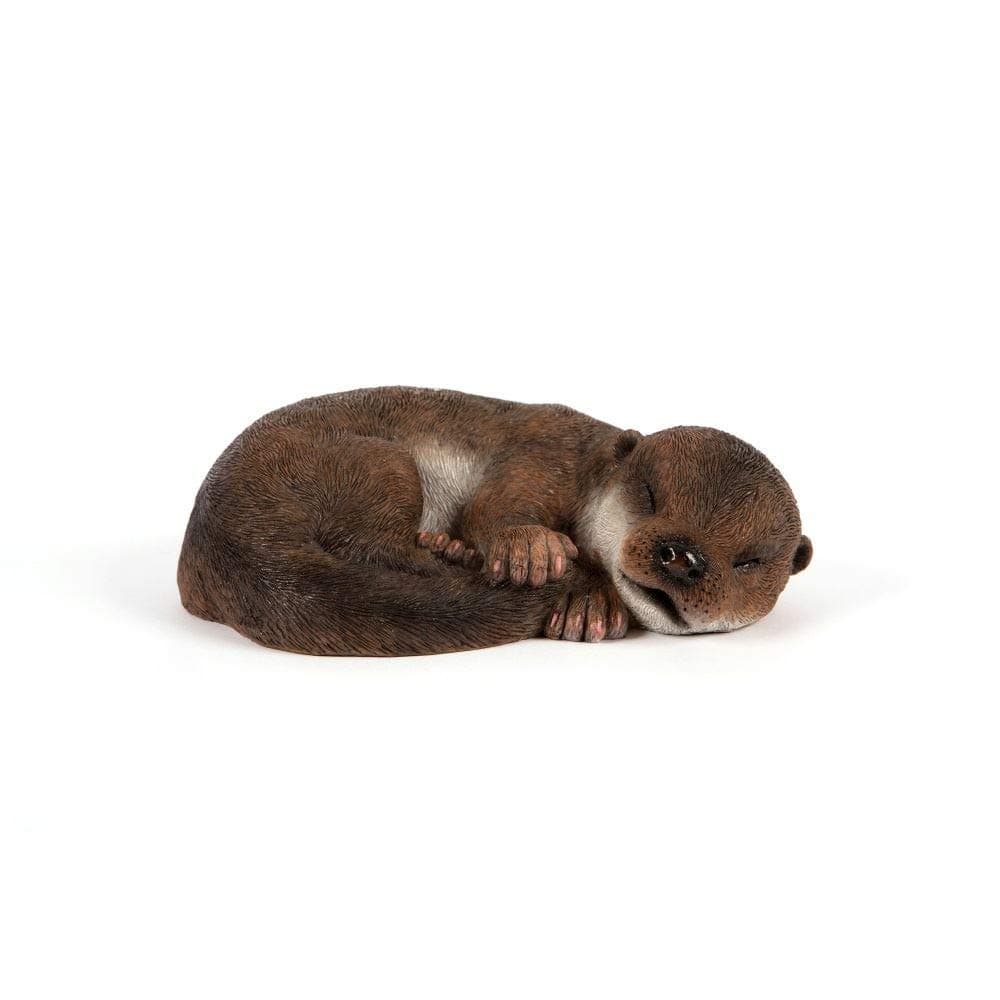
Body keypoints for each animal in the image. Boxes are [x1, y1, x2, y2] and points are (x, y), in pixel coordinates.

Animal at [178, 387, 812, 656]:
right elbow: (495, 506)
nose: (682, 557)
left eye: (750, 560)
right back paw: (452, 552)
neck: (593, 464)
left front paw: (587, 608)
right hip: (372, 462)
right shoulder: (548, 450)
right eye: (651, 495)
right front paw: (535, 553)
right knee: (375, 544)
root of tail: (220, 518)